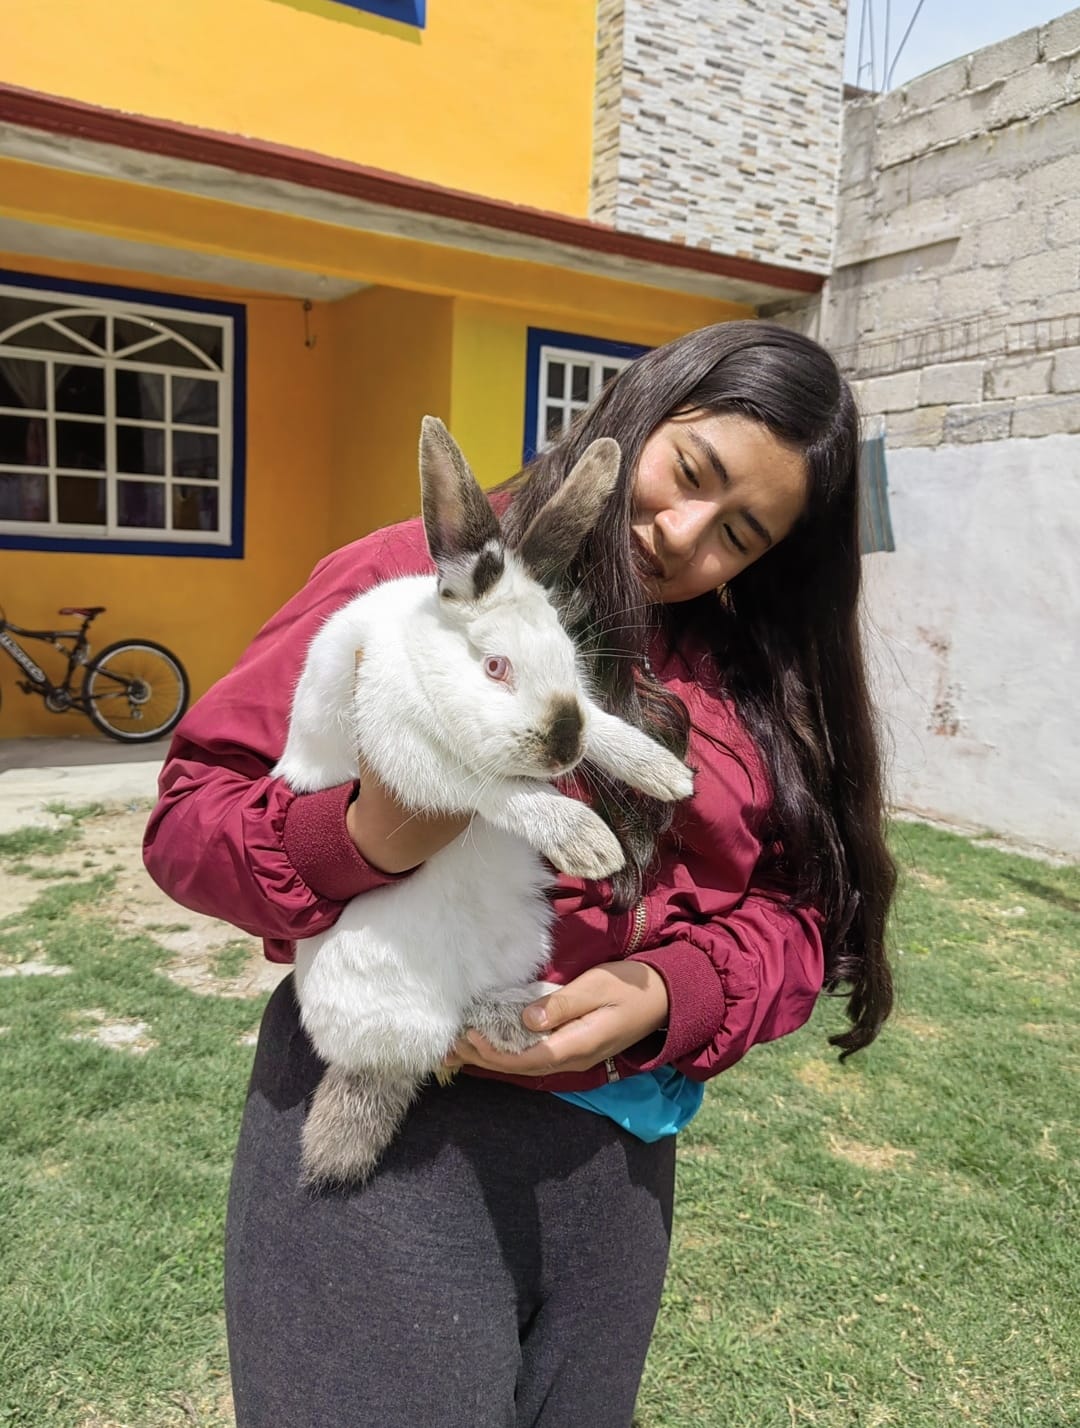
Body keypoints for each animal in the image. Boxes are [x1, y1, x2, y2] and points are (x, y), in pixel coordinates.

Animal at [273, 416, 694, 1188]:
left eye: (568, 657)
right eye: (496, 667)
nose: (561, 751)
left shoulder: (578, 714)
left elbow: (603, 726)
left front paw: (664, 773)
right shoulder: (416, 761)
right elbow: (498, 789)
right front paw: (588, 840)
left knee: (471, 1016)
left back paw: (530, 1011)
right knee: (437, 1043)